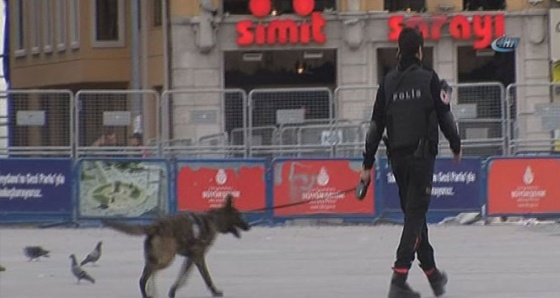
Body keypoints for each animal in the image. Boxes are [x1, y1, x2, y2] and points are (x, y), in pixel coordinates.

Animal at [102, 194, 249, 298]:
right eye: (239, 215)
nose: (248, 226)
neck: (215, 220)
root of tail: (156, 226)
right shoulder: (198, 257)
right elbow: (205, 277)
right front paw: (215, 291)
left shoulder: (191, 258)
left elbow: (183, 276)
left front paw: (173, 291)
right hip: (166, 259)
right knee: (145, 277)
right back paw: (149, 292)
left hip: (155, 258)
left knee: (146, 276)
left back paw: (150, 292)